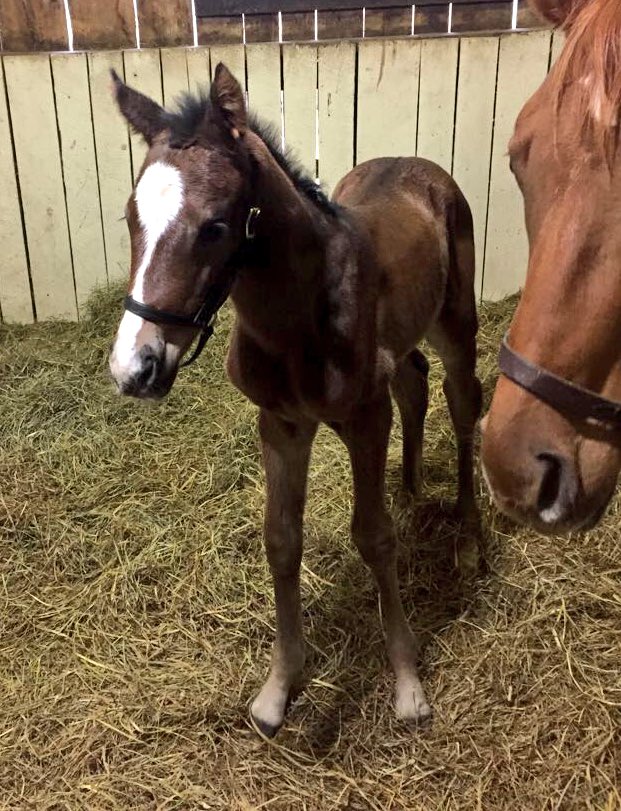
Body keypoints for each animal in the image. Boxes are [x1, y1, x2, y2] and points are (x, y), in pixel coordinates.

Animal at [108, 63, 482, 736]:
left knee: (462, 400)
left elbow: (374, 536)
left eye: (215, 227)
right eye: (131, 216)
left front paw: (407, 683)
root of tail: (420, 165)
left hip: (455, 322)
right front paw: (279, 690)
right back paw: (411, 486)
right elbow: (281, 539)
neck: (296, 319)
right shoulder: (281, 422)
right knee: (412, 379)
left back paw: (468, 540)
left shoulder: (365, 418)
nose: (135, 368)